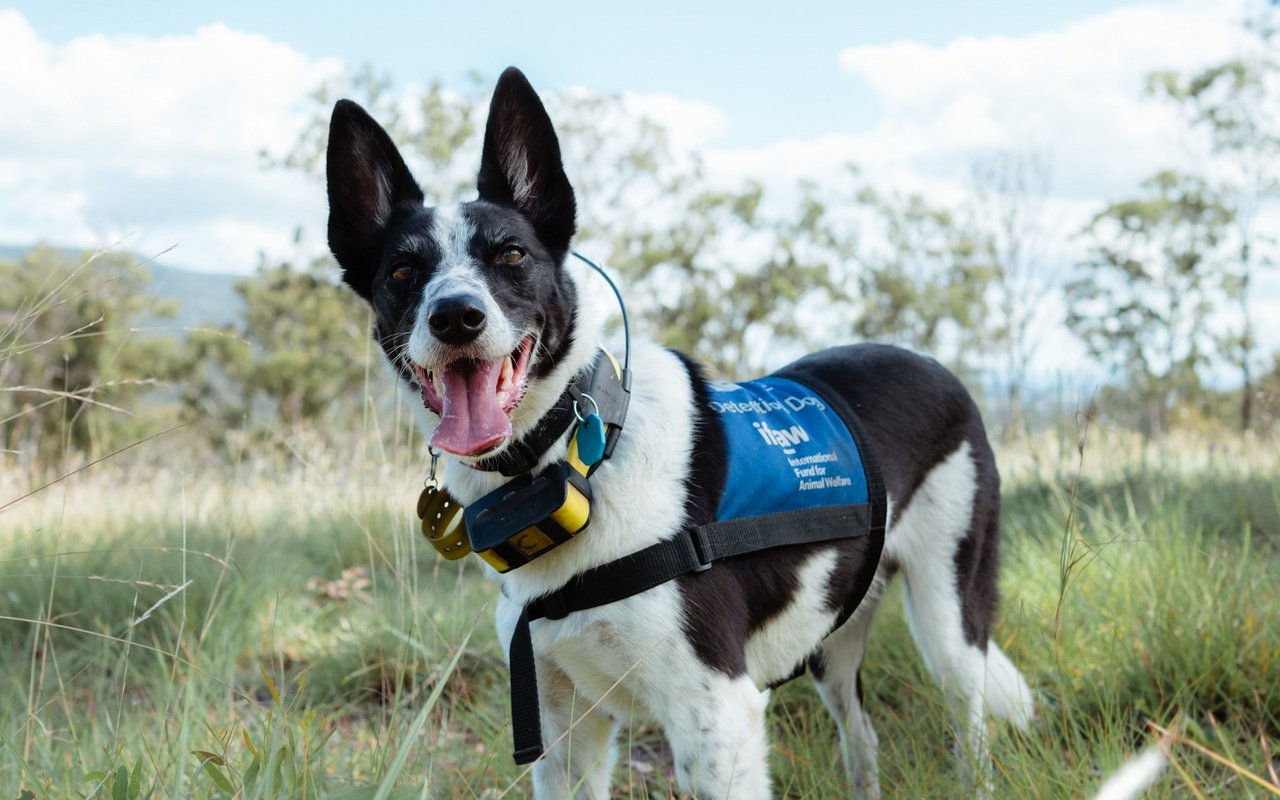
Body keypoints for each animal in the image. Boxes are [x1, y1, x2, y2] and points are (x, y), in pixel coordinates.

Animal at [325, 65, 1034, 793]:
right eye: (403, 271)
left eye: (511, 254)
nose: (455, 317)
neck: (576, 458)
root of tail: (932, 364)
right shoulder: (563, 730)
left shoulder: (717, 717)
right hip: (832, 639)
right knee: (861, 736)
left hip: (949, 615)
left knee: (970, 723)